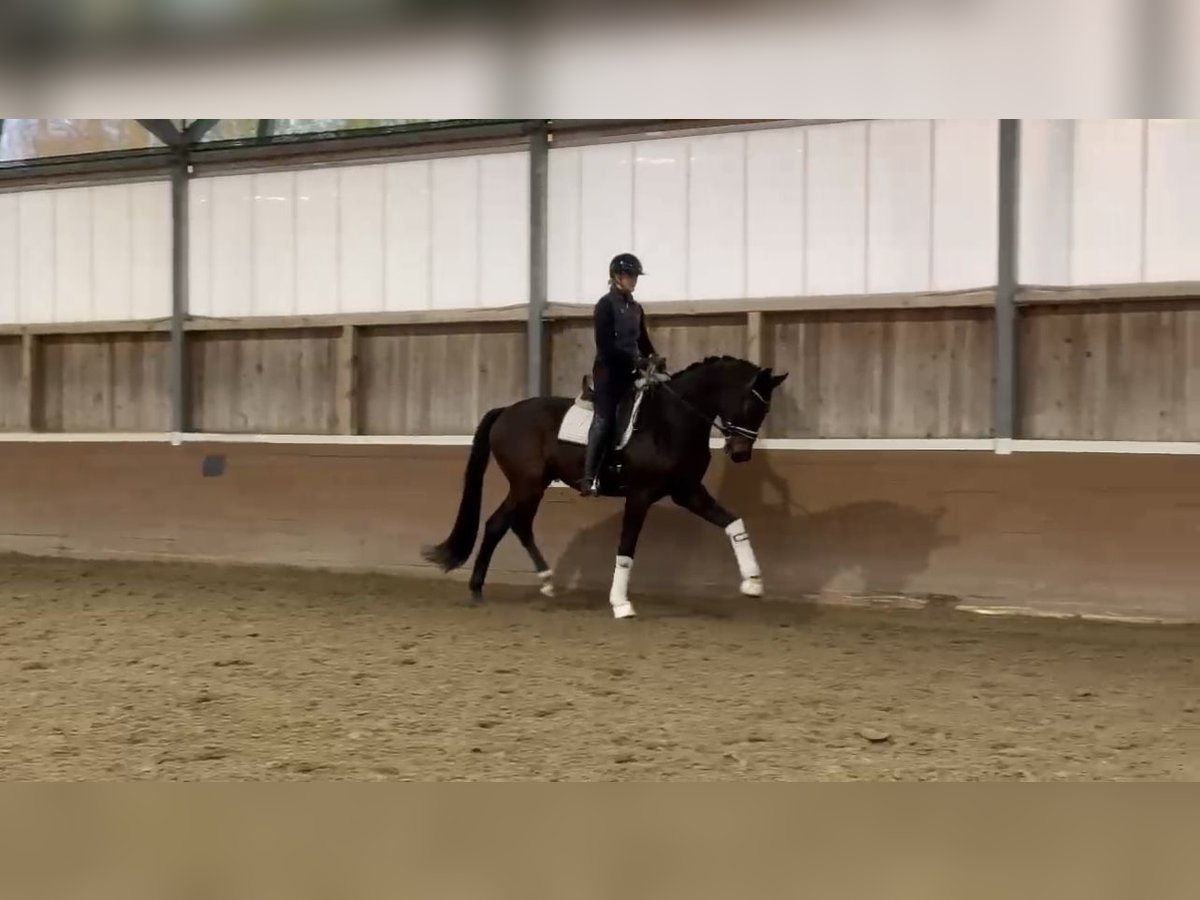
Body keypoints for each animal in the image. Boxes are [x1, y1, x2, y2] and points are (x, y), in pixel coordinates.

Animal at [420, 355, 787, 619]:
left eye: (766, 409)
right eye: (750, 404)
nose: (741, 454)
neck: (670, 422)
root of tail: (506, 411)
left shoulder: (688, 491)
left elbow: (734, 523)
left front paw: (753, 583)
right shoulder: (639, 496)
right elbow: (626, 548)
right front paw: (621, 604)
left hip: (530, 484)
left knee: (503, 524)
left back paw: (510, 586)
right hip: (528, 484)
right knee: (511, 524)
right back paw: (517, 584)